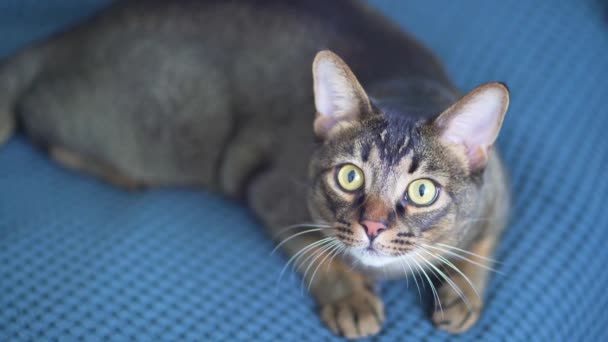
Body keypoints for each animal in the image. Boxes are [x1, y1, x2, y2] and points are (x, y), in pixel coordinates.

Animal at [0, 0, 510, 336]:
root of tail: (67, 36)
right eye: (350, 177)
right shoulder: (269, 192)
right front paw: (350, 298)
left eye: (422, 191)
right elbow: (319, 253)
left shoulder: (501, 192)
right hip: (144, 133)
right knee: (39, 122)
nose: (372, 227)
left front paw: (463, 293)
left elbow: (482, 242)